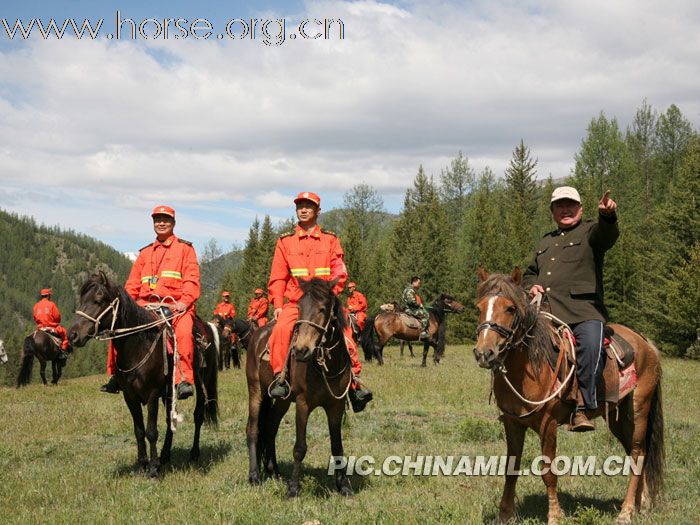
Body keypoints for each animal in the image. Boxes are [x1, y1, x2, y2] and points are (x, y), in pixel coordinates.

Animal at [68, 272, 217, 476]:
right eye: (82, 300)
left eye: (98, 300)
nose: (73, 335)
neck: (138, 345)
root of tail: (206, 327)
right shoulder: (130, 396)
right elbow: (139, 431)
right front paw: (143, 464)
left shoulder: (152, 393)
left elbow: (151, 431)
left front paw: (153, 468)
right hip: (169, 393)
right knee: (169, 420)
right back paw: (165, 455)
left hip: (202, 384)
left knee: (198, 415)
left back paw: (193, 453)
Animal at [247, 276, 356, 498]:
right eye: (299, 308)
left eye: (323, 309)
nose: (301, 350)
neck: (327, 366)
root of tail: (256, 335)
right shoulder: (303, 404)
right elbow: (299, 448)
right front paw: (293, 489)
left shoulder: (336, 406)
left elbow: (337, 446)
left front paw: (344, 486)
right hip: (256, 392)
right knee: (253, 430)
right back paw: (254, 476)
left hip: (281, 400)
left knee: (270, 426)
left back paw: (274, 470)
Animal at [474, 270, 664, 524]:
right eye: (479, 307)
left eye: (510, 308)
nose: (484, 353)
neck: (530, 366)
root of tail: (646, 343)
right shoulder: (513, 423)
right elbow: (510, 469)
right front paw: (504, 515)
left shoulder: (548, 424)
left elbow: (549, 472)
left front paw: (555, 515)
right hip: (619, 418)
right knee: (640, 453)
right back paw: (641, 503)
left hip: (638, 410)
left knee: (635, 453)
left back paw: (626, 512)